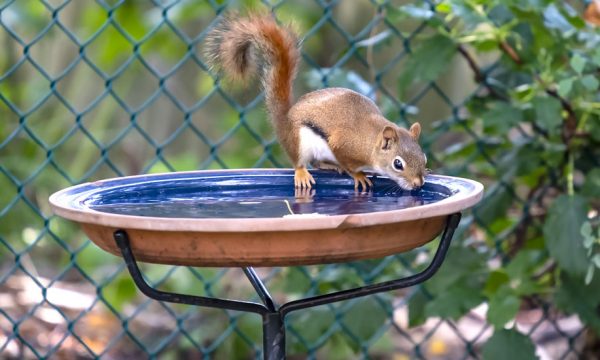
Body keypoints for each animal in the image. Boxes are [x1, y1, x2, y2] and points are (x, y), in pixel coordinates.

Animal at [206, 14, 426, 191]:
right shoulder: (343, 144)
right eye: (398, 164)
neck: (370, 141)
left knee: (318, 163)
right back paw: (303, 173)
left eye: (423, 157)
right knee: (300, 162)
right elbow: (349, 165)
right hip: (299, 141)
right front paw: (358, 175)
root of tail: (285, 120)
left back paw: (331, 165)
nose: (418, 184)